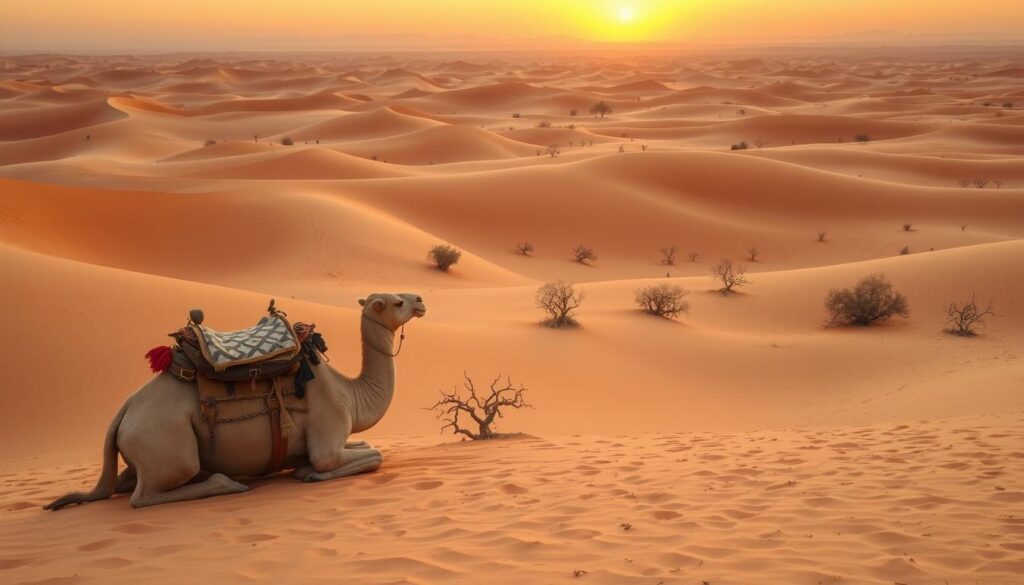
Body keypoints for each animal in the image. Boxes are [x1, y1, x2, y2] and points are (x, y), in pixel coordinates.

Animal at [45, 293, 425, 510]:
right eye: (396, 302)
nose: (421, 299)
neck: (351, 394)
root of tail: (123, 411)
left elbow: (369, 446)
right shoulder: (327, 435)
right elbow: (367, 457)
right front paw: (307, 473)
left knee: (128, 483)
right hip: (167, 444)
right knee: (144, 496)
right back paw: (227, 483)